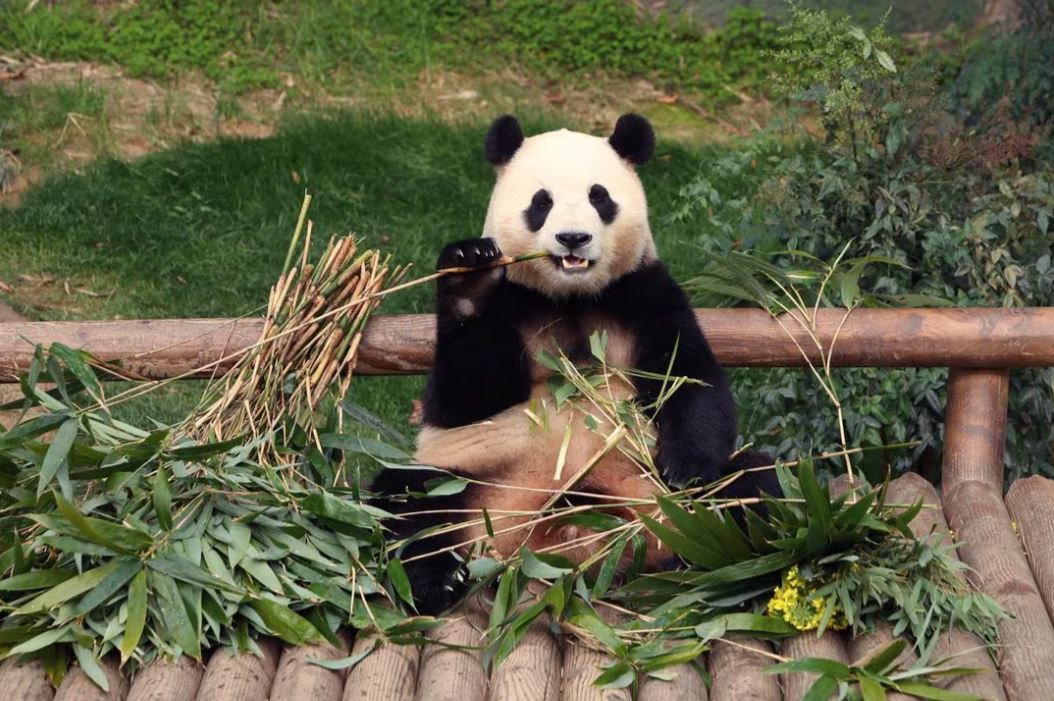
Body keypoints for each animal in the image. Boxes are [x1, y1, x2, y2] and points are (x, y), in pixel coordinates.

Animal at [372, 114, 777, 614]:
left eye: (598, 197)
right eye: (541, 202)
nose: (573, 239)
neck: (571, 297)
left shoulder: (642, 293)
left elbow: (689, 377)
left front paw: (686, 467)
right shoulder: (515, 303)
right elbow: (465, 398)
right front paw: (469, 279)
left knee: (750, 484)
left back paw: (709, 562)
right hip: (469, 483)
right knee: (410, 503)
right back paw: (439, 581)